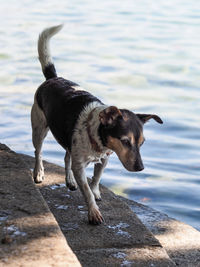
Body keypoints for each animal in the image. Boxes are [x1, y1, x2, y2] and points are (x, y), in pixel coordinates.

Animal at [30, 25, 162, 226]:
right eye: (125, 141)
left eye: (142, 143)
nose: (140, 168)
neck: (96, 139)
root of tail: (53, 78)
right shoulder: (80, 165)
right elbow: (86, 190)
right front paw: (93, 212)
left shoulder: (104, 159)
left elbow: (96, 180)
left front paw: (95, 192)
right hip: (39, 128)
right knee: (38, 151)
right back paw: (38, 172)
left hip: (66, 138)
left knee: (66, 157)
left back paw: (70, 180)